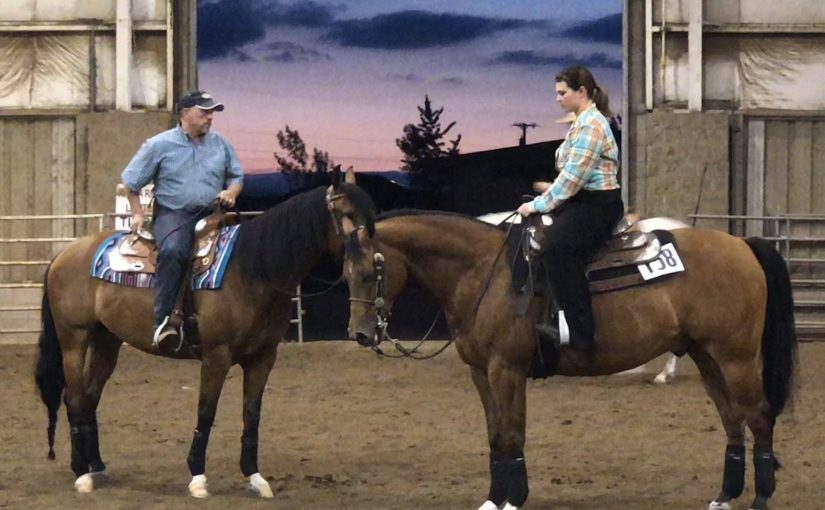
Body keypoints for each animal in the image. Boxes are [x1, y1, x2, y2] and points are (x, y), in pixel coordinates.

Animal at [33, 169, 374, 496]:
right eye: (347, 213)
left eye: (370, 215)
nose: (372, 261)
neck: (252, 270)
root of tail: (64, 255)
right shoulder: (216, 356)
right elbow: (206, 413)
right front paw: (197, 477)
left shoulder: (263, 358)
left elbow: (252, 415)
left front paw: (255, 477)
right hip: (75, 339)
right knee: (74, 397)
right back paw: (81, 474)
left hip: (107, 342)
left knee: (90, 397)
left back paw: (97, 467)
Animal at [336, 209, 800, 510]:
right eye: (345, 274)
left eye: (371, 271)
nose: (359, 334)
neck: (486, 273)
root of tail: (742, 244)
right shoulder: (481, 373)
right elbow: (494, 435)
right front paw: (494, 498)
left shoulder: (507, 370)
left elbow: (513, 434)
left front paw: (514, 499)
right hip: (707, 356)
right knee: (732, 418)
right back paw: (725, 495)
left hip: (736, 357)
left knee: (758, 415)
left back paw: (761, 496)